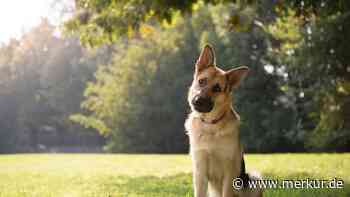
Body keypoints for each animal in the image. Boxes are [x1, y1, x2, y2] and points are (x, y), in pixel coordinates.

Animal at [186, 45, 262, 197]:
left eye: (217, 88)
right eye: (201, 81)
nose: (198, 101)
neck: (210, 125)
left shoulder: (229, 173)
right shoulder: (199, 172)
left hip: (254, 179)